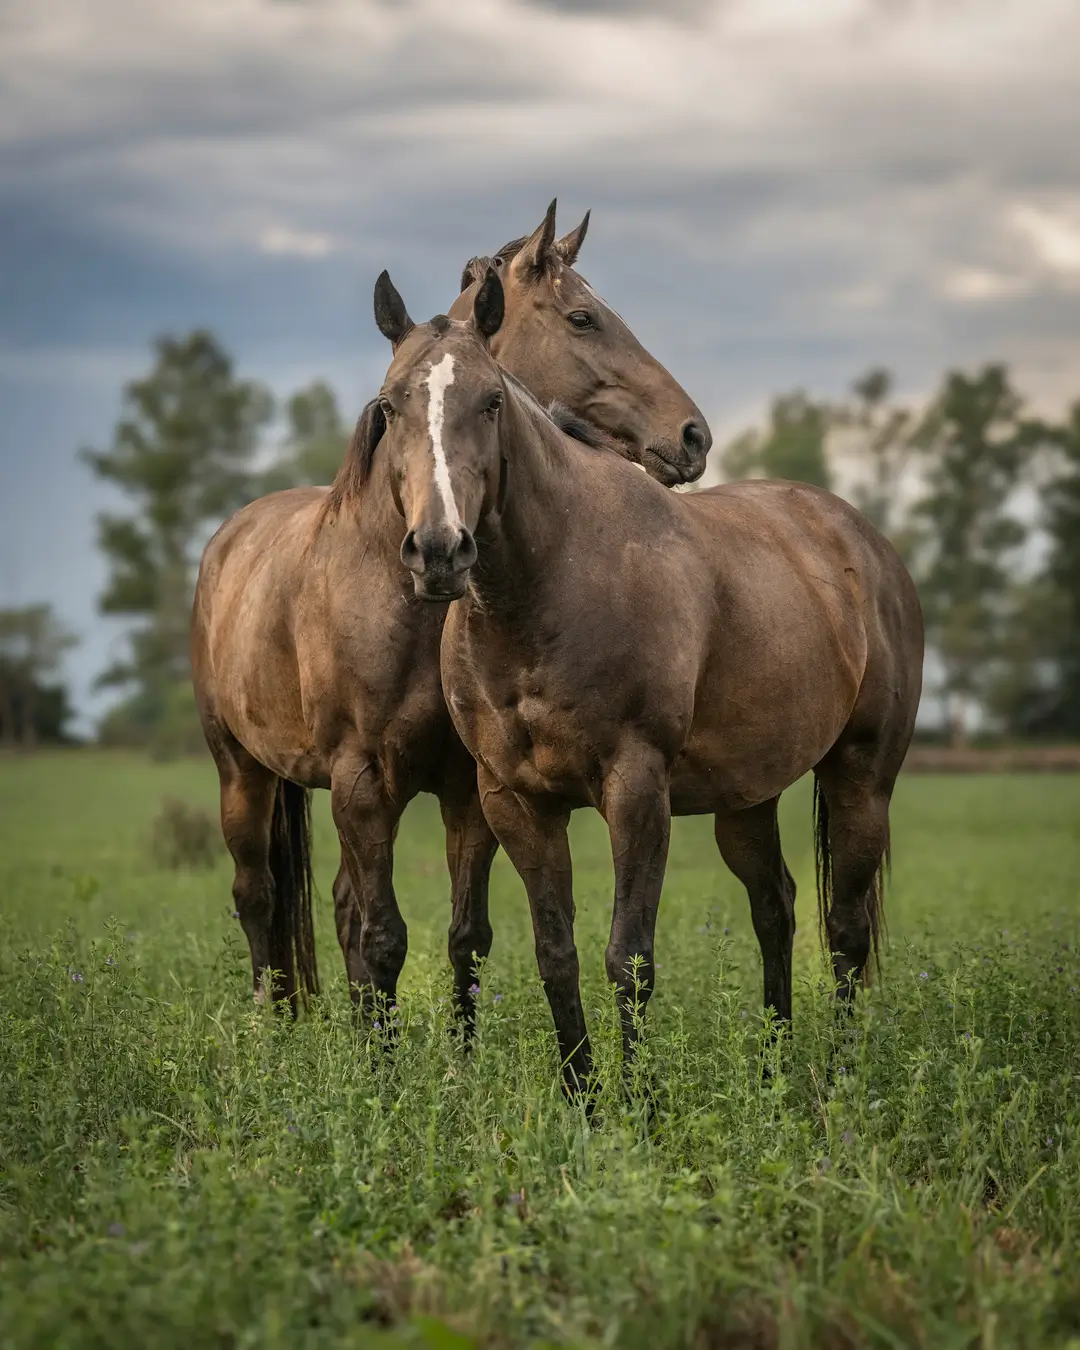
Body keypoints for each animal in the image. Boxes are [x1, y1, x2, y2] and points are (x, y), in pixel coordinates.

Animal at [190, 202, 707, 1020]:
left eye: (492, 402)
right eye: (583, 317)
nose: (693, 434)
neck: (401, 610)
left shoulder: (466, 790)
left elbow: (463, 937)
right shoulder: (363, 782)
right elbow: (384, 941)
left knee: (335, 905)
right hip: (240, 774)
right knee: (258, 899)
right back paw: (276, 1033)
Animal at [367, 271, 923, 1096]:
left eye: (491, 401)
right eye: (388, 405)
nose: (439, 550)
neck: (553, 586)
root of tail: (865, 542)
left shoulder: (636, 791)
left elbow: (628, 960)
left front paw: (636, 1103)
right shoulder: (515, 802)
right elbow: (555, 956)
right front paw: (584, 1098)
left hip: (861, 778)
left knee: (847, 934)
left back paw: (838, 1080)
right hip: (746, 799)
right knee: (776, 910)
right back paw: (773, 1074)